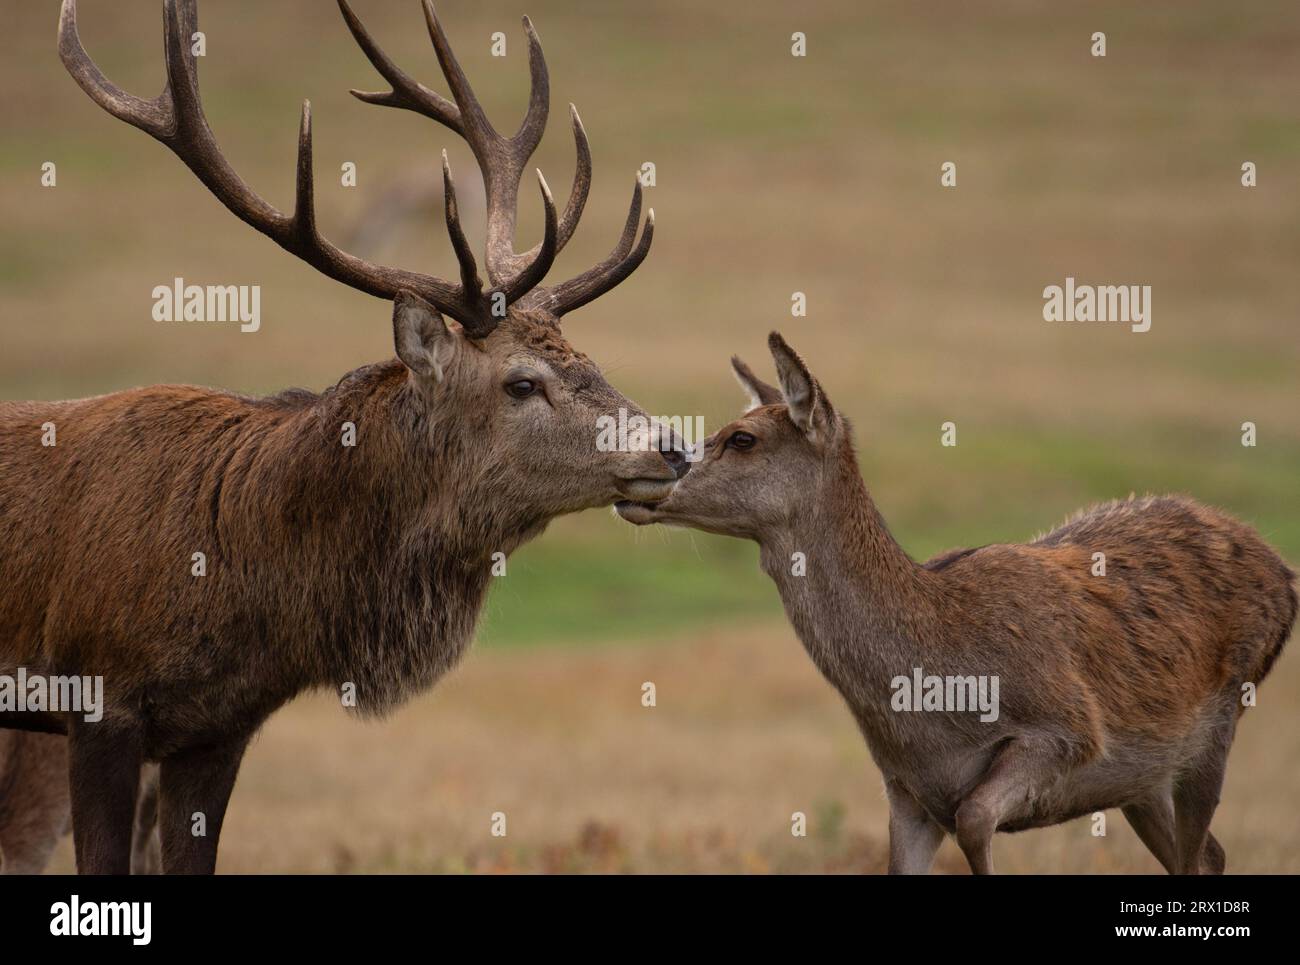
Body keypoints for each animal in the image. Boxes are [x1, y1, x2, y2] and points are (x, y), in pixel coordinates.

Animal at [617, 333, 1297, 874]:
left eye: (742, 437)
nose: (645, 475)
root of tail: (1283, 572)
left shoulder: (1070, 729)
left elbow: (975, 818)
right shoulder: (906, 792)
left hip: (1218, 721)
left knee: (1198, 853)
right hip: (1146, 777)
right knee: (1206, 854)